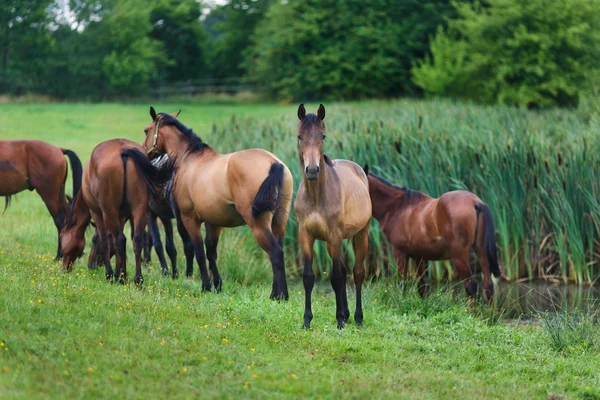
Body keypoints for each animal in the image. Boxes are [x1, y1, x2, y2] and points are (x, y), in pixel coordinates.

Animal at [61, 138, 172, 284]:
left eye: (61, 236)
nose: (64, 267)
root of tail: (123, 151)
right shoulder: (122, 216)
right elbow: (117, 242)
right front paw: (121, 271)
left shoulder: (97, 213)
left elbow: (105, 241)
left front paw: (112, 274)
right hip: (139, 209)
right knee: (136, 240)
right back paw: (138, 279)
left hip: (109, 212)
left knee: (119, 239)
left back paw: (118, 277)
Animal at [139, 106, 292, 300]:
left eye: (146, 130)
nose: (145, 152)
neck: (189, 159)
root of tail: (274, 163)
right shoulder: (214, 222)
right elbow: (211, 253)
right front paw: (217, 285)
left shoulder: (190, 219)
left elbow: (199, 252)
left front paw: (206, 286)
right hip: (279, 223)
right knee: (278, 252)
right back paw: (276, 294)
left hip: (258, 225)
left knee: (276, 254)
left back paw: (280, 296)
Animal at [294, 104, 372, 330]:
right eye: (300, 136)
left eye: (323, 136)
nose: (312, 170)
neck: (316, 197)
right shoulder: (306, 235)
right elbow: (308, 277)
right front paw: (307, 320)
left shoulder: (335, 236)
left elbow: (336, 278)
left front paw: (339, 322)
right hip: (330, 244)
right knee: (345, 271)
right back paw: (346, 314)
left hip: (361, 235)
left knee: (357, 273)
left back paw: (357, 317)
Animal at [366, 166, 502, 300]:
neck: (398, 208)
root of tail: (475, 202)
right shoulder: (417, 255)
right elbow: (422, 286)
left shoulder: (399, 252)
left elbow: (403, 283)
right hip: (480, 250)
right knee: (488, 285)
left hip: (459, 255)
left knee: (471, 286)